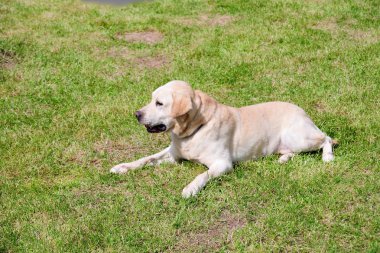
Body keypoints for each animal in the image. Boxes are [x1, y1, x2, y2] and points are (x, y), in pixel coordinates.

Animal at [109, 80, 332, 198]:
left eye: (159, 103)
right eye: (151, 99)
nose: (136, 114)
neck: (194, 130)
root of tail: (304, 112)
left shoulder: (222, 163)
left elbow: (202, 175)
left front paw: (190, 189)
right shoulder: (173, 154)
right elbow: (146, 159)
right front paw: (122, 167)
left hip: (298, 137)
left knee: (326, 138)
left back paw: (328, 157)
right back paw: (284, 158)